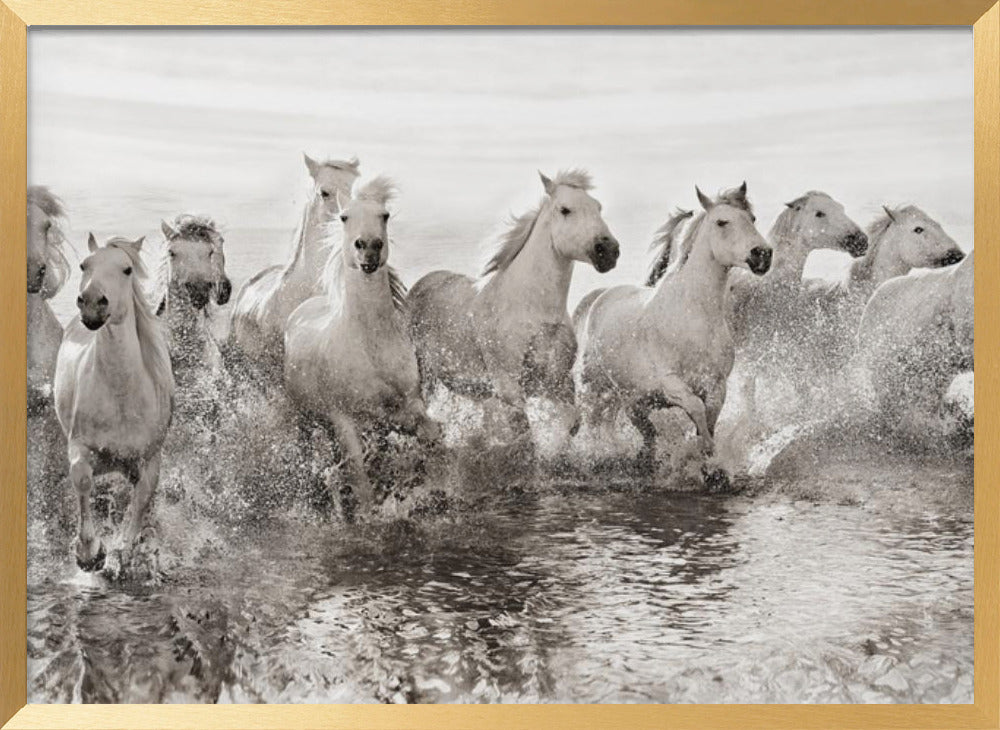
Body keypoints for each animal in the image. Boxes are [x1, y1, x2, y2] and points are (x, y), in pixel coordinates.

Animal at [54, 235, 174, 576]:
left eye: (127, 269)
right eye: (84, 265)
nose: (93, 302)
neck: (121, 397)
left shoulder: (150, 459)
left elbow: (141, 500)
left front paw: (122, 549)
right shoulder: (80, 446)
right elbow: (82, 480)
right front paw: (89, 553)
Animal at [284, 178, 438, 514]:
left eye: (385, 215)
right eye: (344, 217)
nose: (368, 247)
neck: (370, 345)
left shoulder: (408, 404)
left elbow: (430, 435)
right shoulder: (343, 420)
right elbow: (359, 476)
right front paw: (368, 513)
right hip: (305, 418)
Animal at [407, 170, 620, 452]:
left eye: (598, 207)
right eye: (565, 210)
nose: (609, 251)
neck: (533, 308)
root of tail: (423, 282)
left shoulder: (556, 380)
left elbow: (571, 420)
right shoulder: (508, 385)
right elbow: (524, 429)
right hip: (425, 374)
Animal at [573, 183, 771, 483]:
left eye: (752, 219)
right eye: (722, 222)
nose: (762, 255)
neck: (694, 317)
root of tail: (599, 297)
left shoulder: (717, 384)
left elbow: (709, 419)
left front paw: (710, 466)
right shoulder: (671, 382)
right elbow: (697, 410)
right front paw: (703, 455)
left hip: (632, 399)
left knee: (642, 432)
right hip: (595, 387)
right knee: (593, 421)